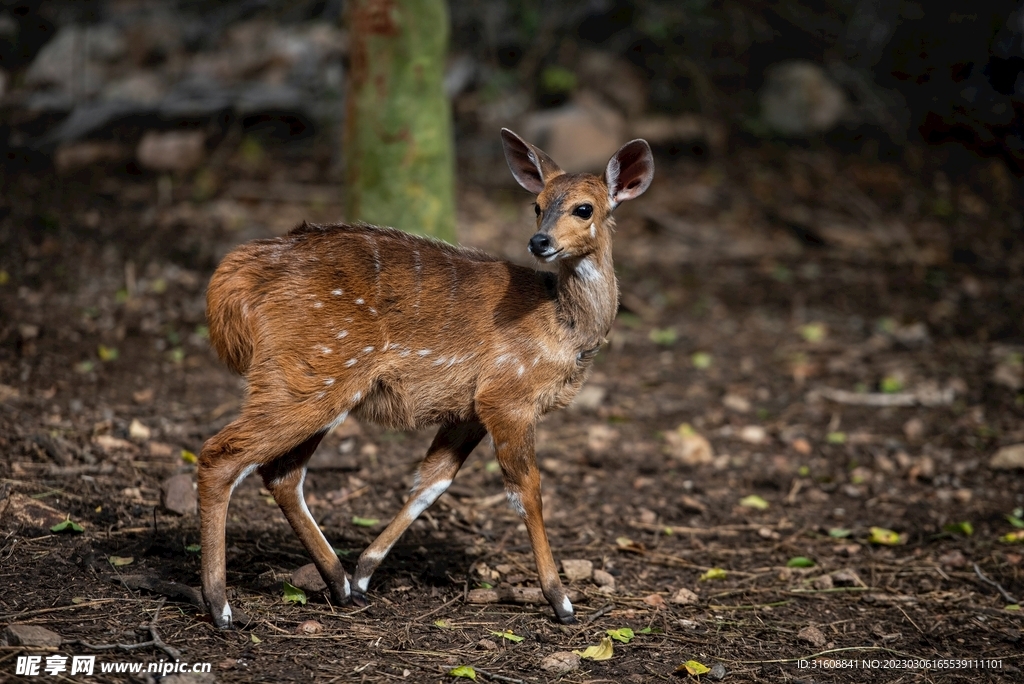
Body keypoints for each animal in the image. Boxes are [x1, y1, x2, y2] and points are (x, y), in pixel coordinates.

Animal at [197, 128, 654, 628]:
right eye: (536, 204)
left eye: (583, 208)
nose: (540, 242)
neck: (562, 325)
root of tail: (235, 277)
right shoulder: (508, 397)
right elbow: (526, 490)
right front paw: (562, 601)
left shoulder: (468, 411)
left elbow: (432, 481)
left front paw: (364, 573)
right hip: (313, 373)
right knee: (221, 454)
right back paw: (220, 607)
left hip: (314, 380)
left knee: (281, 473)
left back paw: (340, 584)